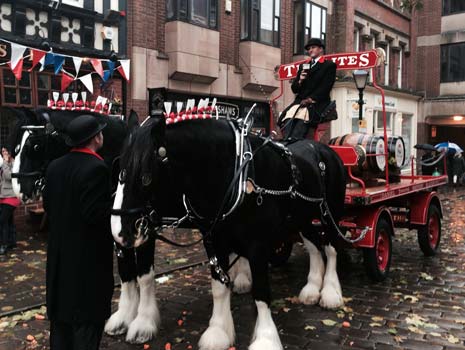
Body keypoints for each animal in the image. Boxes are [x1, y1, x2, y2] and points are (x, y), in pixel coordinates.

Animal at [111, 116, 344, 348]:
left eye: (146, 178)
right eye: (119, 170)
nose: (120, 231)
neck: (237, 176)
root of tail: (324, 149)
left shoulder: (258, 244)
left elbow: (261, 292)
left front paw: (266, 338)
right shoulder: (215, 239)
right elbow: (219, 286)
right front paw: (218, 332)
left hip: (330, 213)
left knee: (331, 248)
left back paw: (330, 293)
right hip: (301, 218)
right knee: (315, 246)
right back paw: (312, 289)